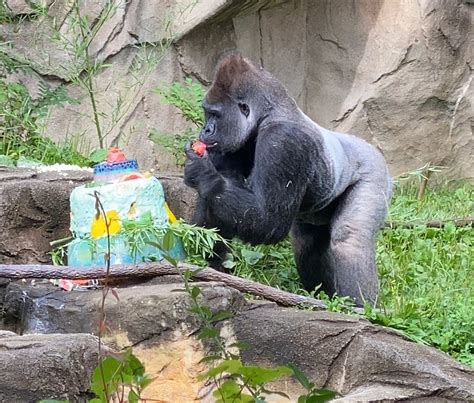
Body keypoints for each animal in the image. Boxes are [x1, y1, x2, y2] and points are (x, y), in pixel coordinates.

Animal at [183, 53, 390, 306]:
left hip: (375, 171)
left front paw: (203, 174)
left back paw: (361, 307)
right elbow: (218, 207)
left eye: (215, 114)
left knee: (350, 238)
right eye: (207, 112)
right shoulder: (227, 145)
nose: (206, 130)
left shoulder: (283, 141)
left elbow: (269, 221)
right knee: (307, 242)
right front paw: (212, 267)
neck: (267, 115)